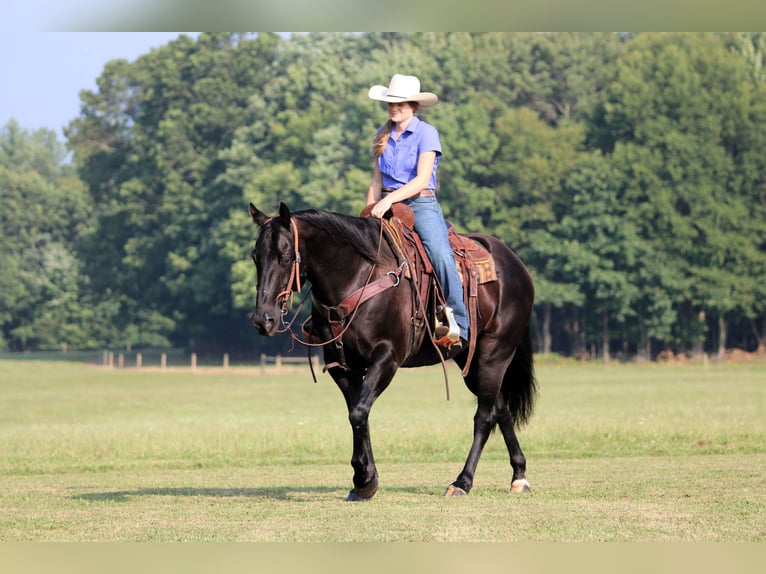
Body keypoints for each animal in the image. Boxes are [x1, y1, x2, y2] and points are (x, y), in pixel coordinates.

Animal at [248, 202, 537, 501]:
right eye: (255, 257)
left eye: (284, 255)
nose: (263, 319)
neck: (356, 275)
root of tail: (515, 264)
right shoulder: (341, 365)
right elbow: (358, 413)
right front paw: (365, 481)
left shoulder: (387, 357)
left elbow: (359, 412)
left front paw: (364, 478)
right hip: (471, 361)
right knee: (499, 409)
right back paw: (519, 475)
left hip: (496, 353)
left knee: (484, 416)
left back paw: (462, 482)